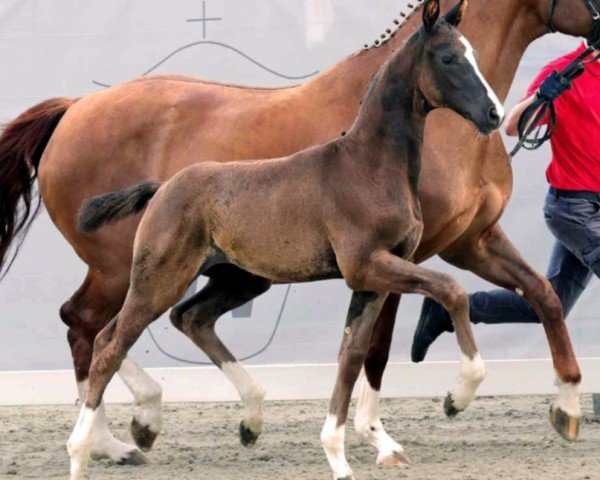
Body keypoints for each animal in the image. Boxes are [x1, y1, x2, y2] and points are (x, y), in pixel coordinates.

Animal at [0, 0, 592, 464]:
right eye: (449, 58)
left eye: (472, 53)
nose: (494, 114)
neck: (369, 159)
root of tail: (74, 107)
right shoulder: (393, 262)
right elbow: (392, 337)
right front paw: (416, 418)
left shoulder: (468, 242)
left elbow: (540, 294)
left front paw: (565, 405)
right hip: (129, 269)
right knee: (94, 330)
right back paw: (114, 434)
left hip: (235, 276)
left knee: (176, 319)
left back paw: (221, 420)